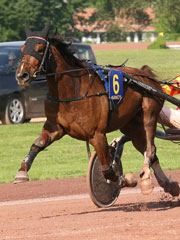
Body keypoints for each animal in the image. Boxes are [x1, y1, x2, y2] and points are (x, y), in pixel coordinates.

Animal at [14, 23, 179, 197]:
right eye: (23, 48)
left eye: (39, 49)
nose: (22, 75)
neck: (73, 91)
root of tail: (146, 75)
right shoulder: (55, 127)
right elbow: (37, 144)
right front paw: (22, 171)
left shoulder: (97, 134)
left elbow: (107, 170)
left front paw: (124, 179)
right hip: (132, 126)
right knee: (149, 152)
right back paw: (168, 185)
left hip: (149, 114)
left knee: (150, 149)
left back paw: (146, 176)